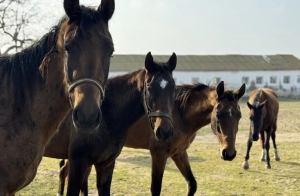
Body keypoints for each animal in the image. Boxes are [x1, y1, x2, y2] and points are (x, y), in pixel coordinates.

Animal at [43, 52, 177, 196]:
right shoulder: (78, 163)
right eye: (150, 88)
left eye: (174, 88)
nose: (164, 131)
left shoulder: (106, 164)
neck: (106, 117)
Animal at [55, 80, 245, 195]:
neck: (179, 113)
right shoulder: (159, 154)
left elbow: (192, 184)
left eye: (239, 115)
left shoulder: (179, 153)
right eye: (218, 114)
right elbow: (156, 188)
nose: (229, 153)